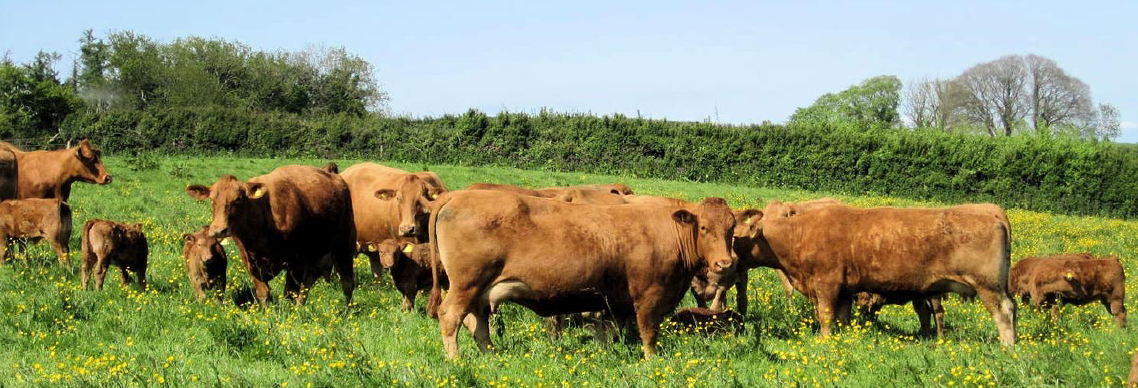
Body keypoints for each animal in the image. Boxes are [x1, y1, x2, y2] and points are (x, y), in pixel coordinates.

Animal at [186, 163, 355, 304]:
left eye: (238, 199)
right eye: (212, 200)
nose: (218, 230)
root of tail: (336, 178)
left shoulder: (296, 260)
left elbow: (290, 292)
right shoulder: (249, 262)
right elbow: (263, 293)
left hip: (344, 244)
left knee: (347, 283)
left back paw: (348, 310)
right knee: (308, 283)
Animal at [427, 188, 737, 357]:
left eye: (731, 228)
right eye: (704, 228)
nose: (725, 262)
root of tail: (457, 195)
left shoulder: (617, 300)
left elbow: (613, 331)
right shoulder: (648, 296)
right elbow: (649, 333)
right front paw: (652, 361)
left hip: (480, 292)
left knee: (478, 325)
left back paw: (492, 357)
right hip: (466, 284)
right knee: (451, 317)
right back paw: (455, 360)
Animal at [737, 202, 1015, 343]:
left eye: (735, 237)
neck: (800, 234)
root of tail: (993, 216)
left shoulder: (827, 284)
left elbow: (825, 317)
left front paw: (824, 342)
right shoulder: (844, 290)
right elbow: (842, 318)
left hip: (987, 285)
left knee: (1004, 312)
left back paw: (1007, 345)